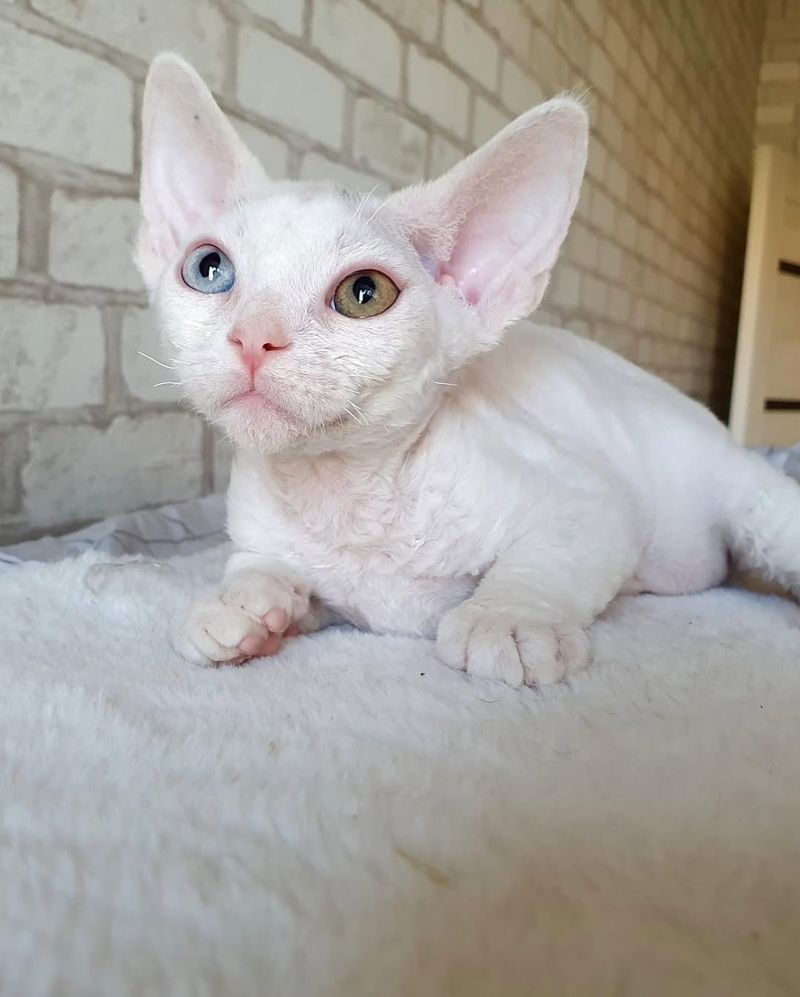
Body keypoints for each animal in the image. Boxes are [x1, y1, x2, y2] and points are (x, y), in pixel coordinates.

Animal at [138, 54, 800, 688]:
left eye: (363, 293)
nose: (253, 336)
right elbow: (261, 565)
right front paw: (237, 604)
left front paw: (509, 620)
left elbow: (548, 557)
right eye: (208, 269)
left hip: (754, 508)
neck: (343, 496)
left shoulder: (594, 503)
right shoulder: (279, 551)